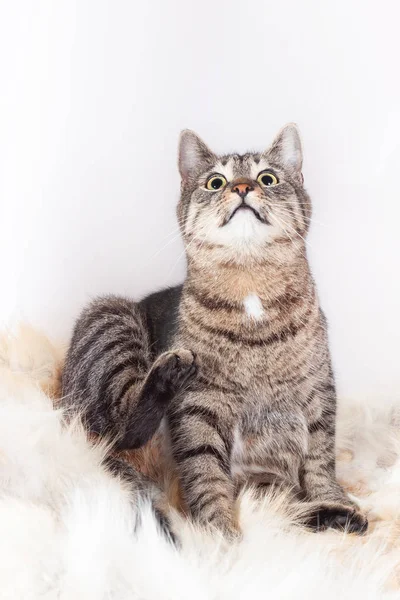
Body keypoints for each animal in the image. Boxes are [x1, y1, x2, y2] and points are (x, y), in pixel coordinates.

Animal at [63, 125, 368, 540]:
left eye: (267, 178)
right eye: (215, 182)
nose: (241, 187)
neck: (250, 283)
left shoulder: (319, 394)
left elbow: (320, 461)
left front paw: (334, 500)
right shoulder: (198, 408)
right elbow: (206, 475)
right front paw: (218, 535)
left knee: (277, 505)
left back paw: (330, 516)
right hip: (112, 317)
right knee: (122, 427)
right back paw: (169, 370)